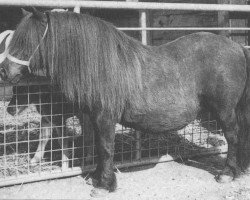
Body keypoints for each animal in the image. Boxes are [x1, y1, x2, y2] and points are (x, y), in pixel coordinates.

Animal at [1, 8, 250, 197]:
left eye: (26, 41)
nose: (3, 71)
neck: (100, 65)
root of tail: (236, 47)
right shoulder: (94, 118)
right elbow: (98, 147)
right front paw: (98, 178)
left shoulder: (105, 117)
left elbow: (106, 148)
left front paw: (104, 185)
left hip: (225, 110)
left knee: (233, 137)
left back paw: (227, 173)